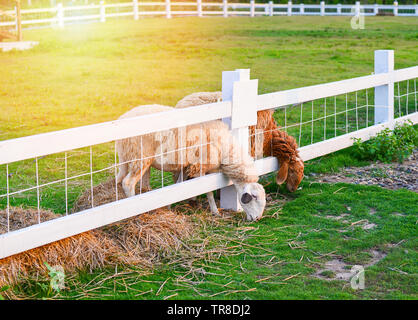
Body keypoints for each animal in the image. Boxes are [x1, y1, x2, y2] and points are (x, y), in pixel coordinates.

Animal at [115, 104, 264, 220]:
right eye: (255, 197)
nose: (257, 218)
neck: (225, 149)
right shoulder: (200, 167)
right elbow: (208, 191)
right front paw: (215, 211)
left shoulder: (187, 166)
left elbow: (179, 184)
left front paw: (170, 206)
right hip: (140, 157)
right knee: (127, 183)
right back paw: (135, 214)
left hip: (127, 157)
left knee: (121, 180)